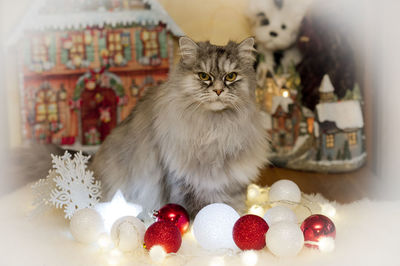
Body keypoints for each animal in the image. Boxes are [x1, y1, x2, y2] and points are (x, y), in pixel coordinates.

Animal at [91, 37, 268, 216]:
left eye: (231, 76)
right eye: (204, 76)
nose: (218, 90)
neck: (214, 129)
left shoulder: (233, 185)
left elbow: (233, 211)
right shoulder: (182, 183)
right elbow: (193, 213)